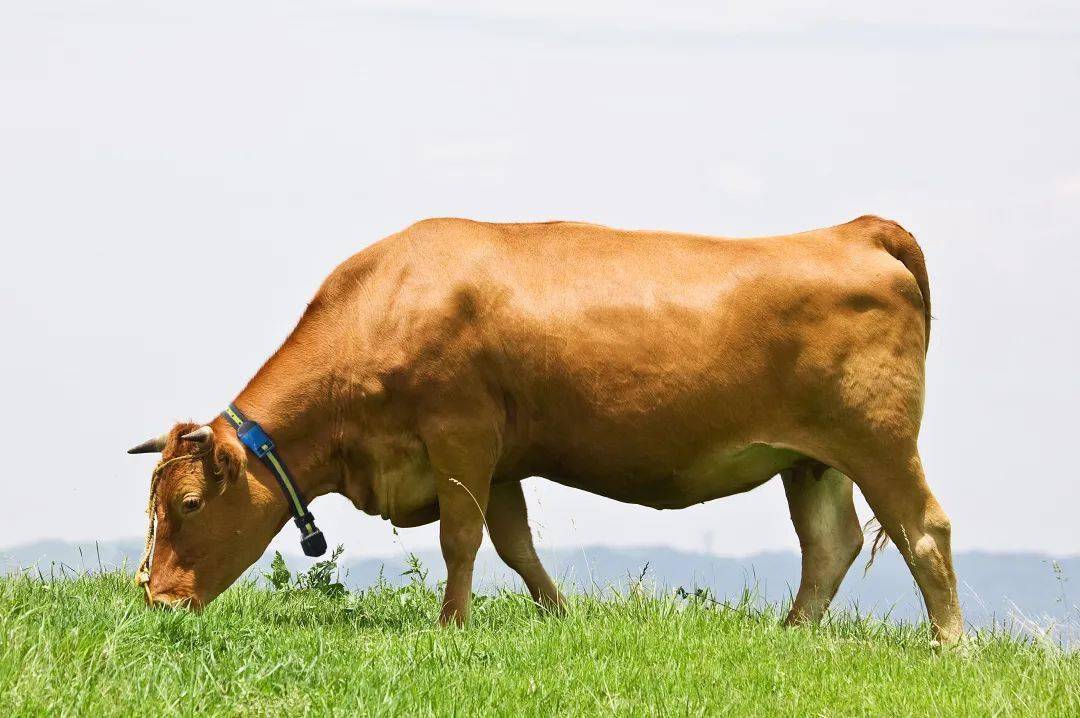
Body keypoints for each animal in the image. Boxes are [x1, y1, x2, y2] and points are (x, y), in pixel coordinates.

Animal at [126, 215, 963, 647]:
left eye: (190, 506)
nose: (158, 600)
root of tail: (850, 231)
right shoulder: (498, 462)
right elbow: (514, 544)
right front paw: (558, 616)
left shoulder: (460, 432)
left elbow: (460, 538)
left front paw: (451, 628)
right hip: (809, 459)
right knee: (830, 544)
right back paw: (789, 636)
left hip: (878, 440)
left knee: (922, 530)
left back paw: (948, 644)